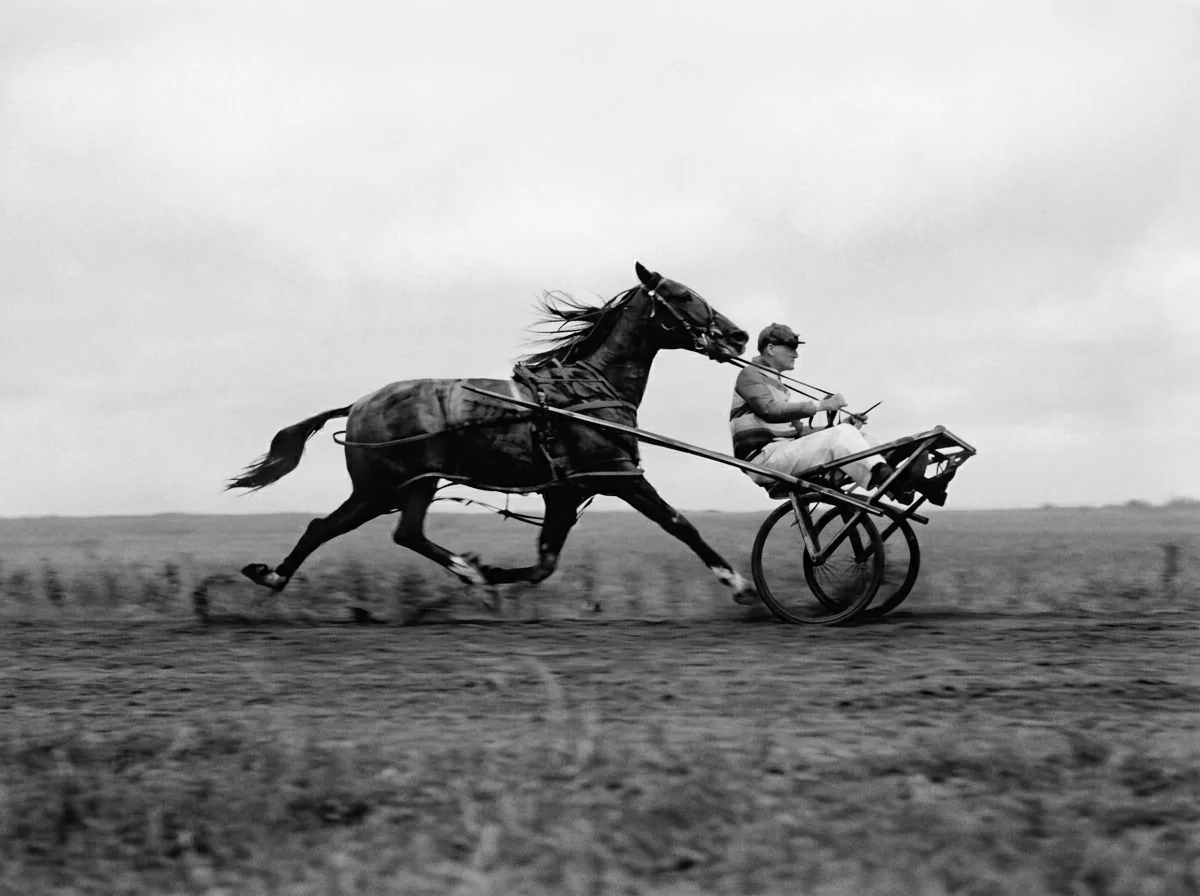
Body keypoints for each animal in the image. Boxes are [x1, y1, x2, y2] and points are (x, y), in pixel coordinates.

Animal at [227, 261, 759, 605]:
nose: (738, 336)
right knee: (375, 531)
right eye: (683, 295)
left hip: (398, 487)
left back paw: (274, 577)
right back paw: (469, 572)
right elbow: (679, 524)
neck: (588, 389)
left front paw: (498, 571)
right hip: (393, 484)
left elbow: (545, 562)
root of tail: (358, 404)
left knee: (353, 529)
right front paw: (740, 584)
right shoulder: (619, 475)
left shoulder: (565, 491)